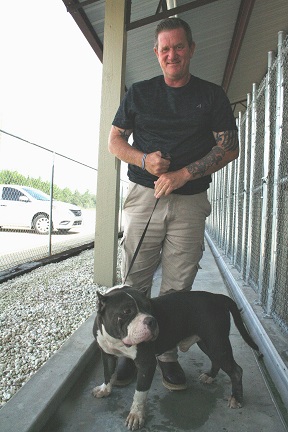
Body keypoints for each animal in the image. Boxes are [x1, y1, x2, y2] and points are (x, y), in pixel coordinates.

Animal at [93, 286, 260, 430]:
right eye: (127, 311)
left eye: (148, 307)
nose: (151, 320)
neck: (118, 339)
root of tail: (218, 297)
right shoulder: (107, 354)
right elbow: (108, 373)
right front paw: (105, 389)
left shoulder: (146, 364)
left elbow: (140, 393)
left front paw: (136, 415)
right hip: (207, 343)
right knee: (216, 360)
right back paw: (210, 376)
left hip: (217, 343)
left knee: (236, 370)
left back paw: (237, 398)